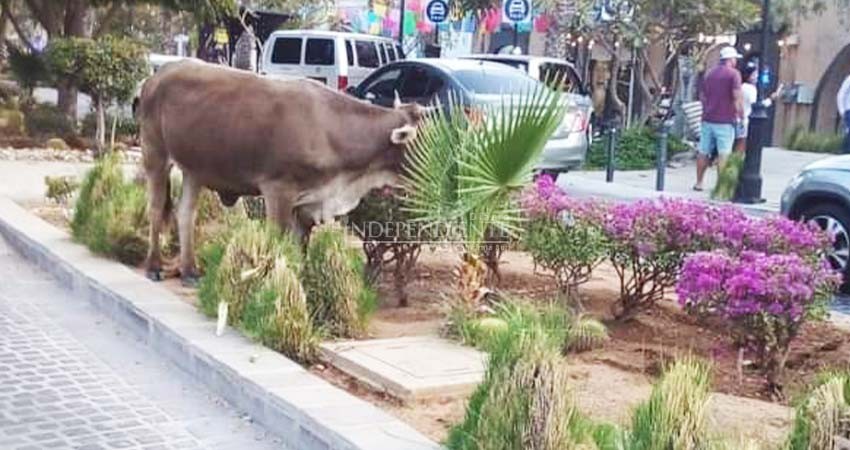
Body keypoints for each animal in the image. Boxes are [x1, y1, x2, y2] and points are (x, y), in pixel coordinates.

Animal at [137, 60, 425, 284]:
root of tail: (157, 74)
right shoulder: (278, 190)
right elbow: (276, 241)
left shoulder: (308, 203)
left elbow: (299, 249)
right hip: (155, 154)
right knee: (156, 207)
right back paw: (154, 266)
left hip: (194, 169)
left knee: (185, 212)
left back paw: (189, 271)